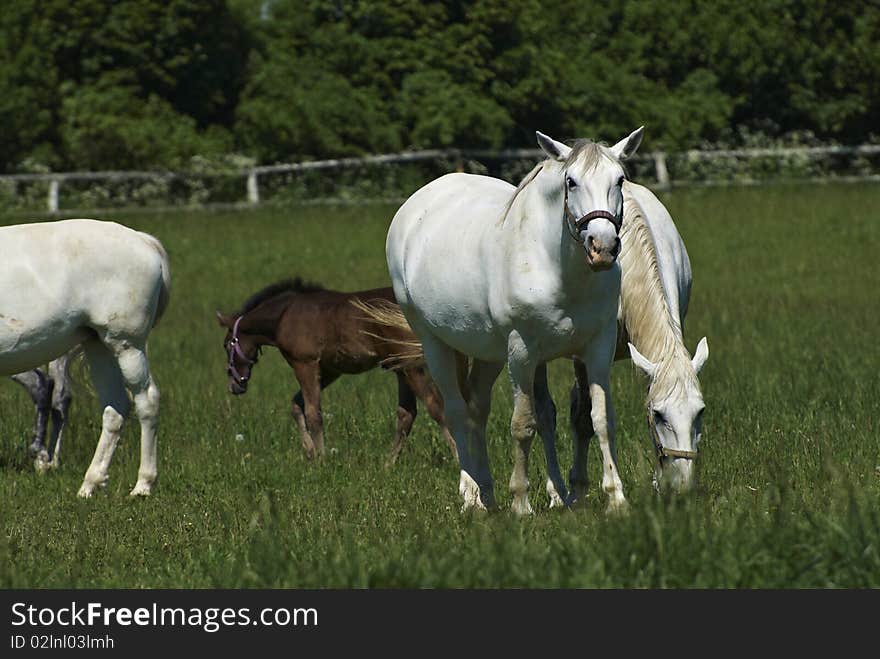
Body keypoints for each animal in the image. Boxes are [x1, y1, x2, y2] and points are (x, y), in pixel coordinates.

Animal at [0, 219, 170, 498]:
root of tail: (144, 241)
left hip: (126, 345)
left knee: (147, 401)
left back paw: (143, 485)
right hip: (98, 346)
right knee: (115, 409)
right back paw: (90, 483)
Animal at [217, 278, 458, 464]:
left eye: (227, 344)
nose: (234, 386)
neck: (285, 315)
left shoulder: (305, 364)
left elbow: (313, 413)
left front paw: (321, 459)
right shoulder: (329, 370)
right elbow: (297, 405)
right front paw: (310, 451)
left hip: (411, 367)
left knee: (436, 406)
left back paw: (457, 457)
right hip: (401, 368)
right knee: (407, 414)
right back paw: (388, 465)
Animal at [388, 127, 644, 516]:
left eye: (620, 180)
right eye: (571, 181)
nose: (602, 246)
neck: (554, 265)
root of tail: (412, 209)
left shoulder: (596, 347)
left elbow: (600, 418)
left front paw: (616, 498)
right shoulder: (521, 352)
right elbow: (523, 424)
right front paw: (521, 502)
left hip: (489, 354)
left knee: (476, 409)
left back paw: (487, 492)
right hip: (436, 344)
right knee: (456, 411)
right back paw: (471, 497)